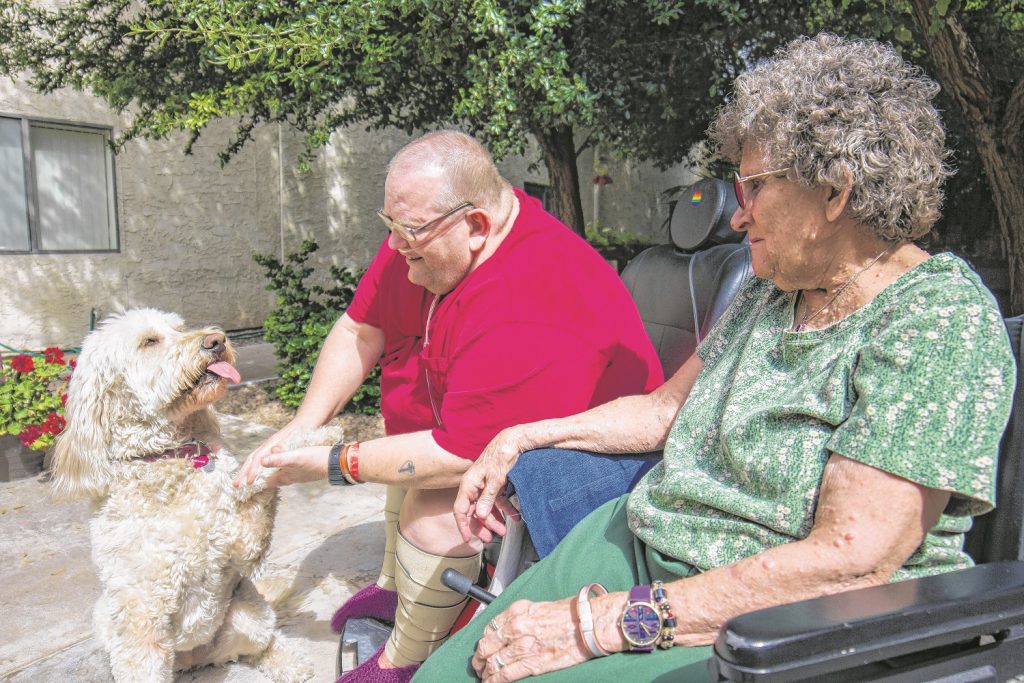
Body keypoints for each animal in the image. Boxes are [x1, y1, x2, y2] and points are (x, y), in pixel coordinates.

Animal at [51, 309, 333, 683]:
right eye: (149, 341)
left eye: (179, 327)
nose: (216, 340)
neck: (172, 457)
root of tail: (195, 658)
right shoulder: (143, 622)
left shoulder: (242, 545)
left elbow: (258, 475)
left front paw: (315, 438)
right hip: (106, 619)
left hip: (249, 615)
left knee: (262, 644)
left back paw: (291, 663)